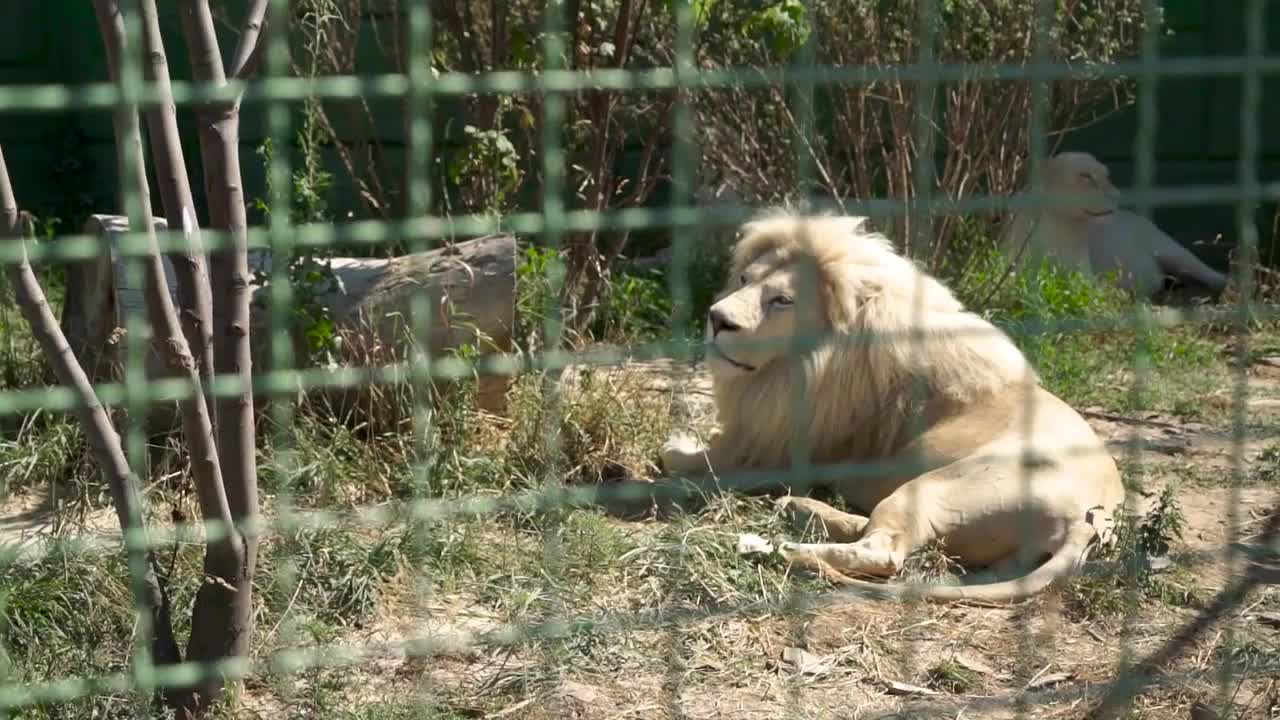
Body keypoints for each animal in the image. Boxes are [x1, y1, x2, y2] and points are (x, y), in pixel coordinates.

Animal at [665, 211, 1126, 599]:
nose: (716, 319)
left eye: (782, 300)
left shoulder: (775, 446)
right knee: (876, 529)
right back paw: (798, 508)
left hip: (939, 485)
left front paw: (680, 448)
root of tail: (1090, 521)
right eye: (743, 278)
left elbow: (687, 461)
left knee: (884, 552)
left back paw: (765, 545)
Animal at [998, 151, 1228, 297]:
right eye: (1085, 176)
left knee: (1208, 272)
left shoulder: (1085, 277)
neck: (1062, 226)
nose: (1117, 195)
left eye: (1106, 175)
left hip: (1172, 250)